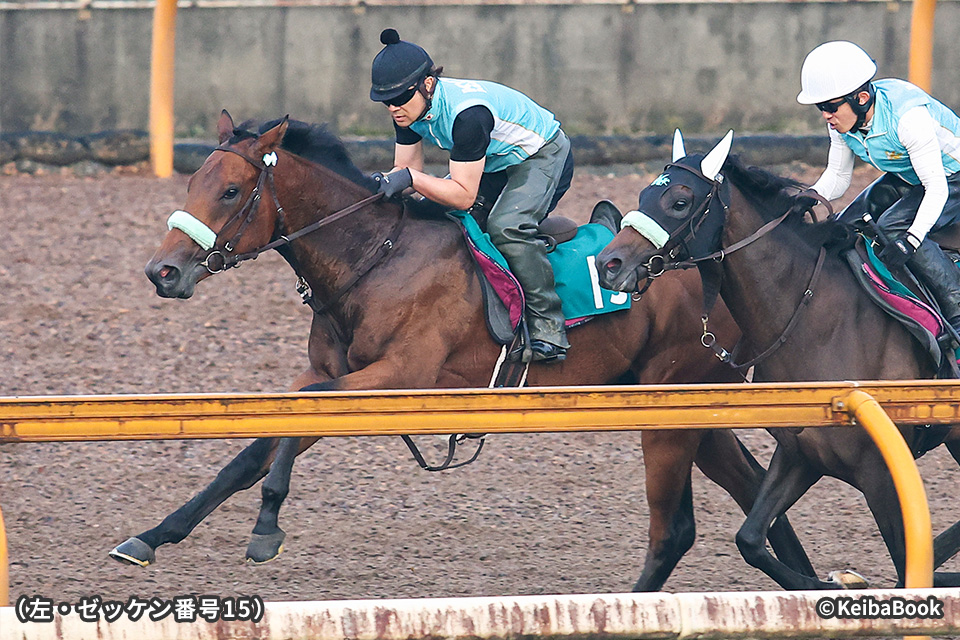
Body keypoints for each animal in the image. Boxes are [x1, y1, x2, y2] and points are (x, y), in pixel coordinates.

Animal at [111, 111, 814, 592]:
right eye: (194, 182)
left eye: (231, 191)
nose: (161, 272)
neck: (375, 260)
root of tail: (712, 263)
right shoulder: (329, 372)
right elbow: (252, 450)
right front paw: (151, 537)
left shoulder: (398, 376)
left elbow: (288, 436)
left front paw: (266, 529)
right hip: (685, 402)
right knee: (753, 485)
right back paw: (811, 579)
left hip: (673, 397)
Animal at [595, 130, 960, 589]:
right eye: (643, 193)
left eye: (680, 201)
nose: (608, 264)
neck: (815, 320)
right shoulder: (799, 453)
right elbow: (750, 539)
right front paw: (832, 582)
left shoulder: (879, 471)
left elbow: (905, 562)